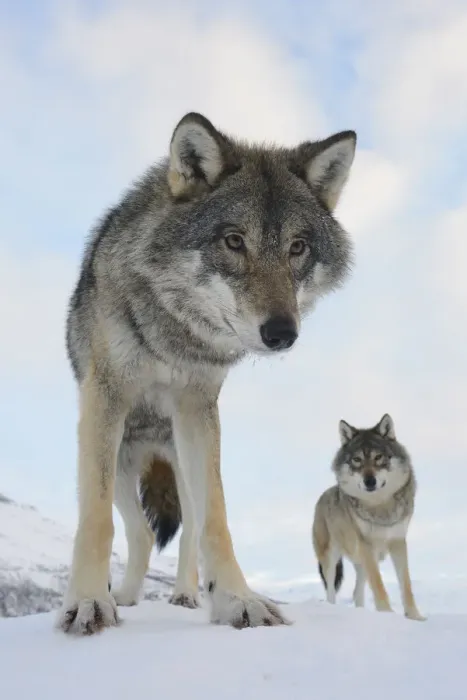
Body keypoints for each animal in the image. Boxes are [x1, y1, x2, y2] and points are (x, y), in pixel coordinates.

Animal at [58, 111, 357, 635]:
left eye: (298, 247)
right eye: (234, 241)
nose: (282, 333)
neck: (173, 332)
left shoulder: (197, 409)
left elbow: (215, 521)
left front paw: (238, 601)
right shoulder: (105, 401)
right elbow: (95, 520)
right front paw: (90, 601)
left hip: (178, 461)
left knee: (186, 529)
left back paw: (183, 596)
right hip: (121, 461)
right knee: (138, 532)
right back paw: (128, 598)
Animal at [312, 414, 425, 621]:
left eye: (378, 457)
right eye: (357, 460)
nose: (369, 481)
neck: (380, 507)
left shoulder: (398, 542)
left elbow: (406, 586)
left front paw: (415, 617)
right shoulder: (367, 544)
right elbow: (379, 585)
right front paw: (387, 614)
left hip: (363, 562)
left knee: (357, 592)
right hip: (331, 557)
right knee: (331, 590)